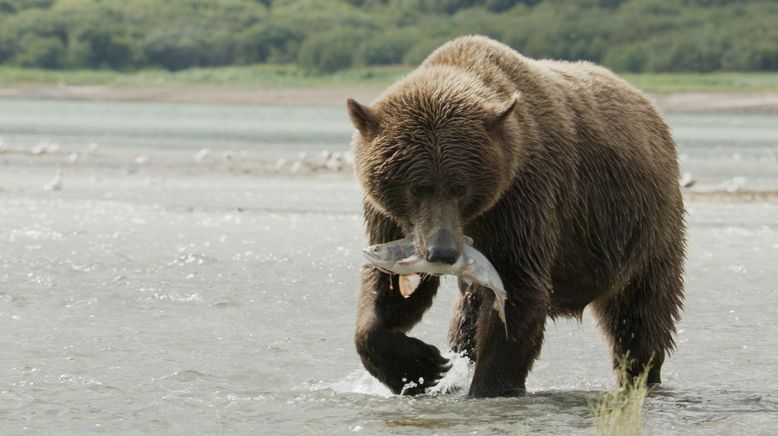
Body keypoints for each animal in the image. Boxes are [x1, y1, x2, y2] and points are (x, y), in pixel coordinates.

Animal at [348, 35, 684, 396]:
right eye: (417, 187)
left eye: (459, 187)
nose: (443, 252)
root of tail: (648, 104)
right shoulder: (390, 218)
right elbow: (389, 291)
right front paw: (419, 366)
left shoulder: (523, 200)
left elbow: (518, 289)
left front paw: (489, 386)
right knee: (466, 317)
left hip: (640, 229)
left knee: (639, 315)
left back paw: (641, 374)